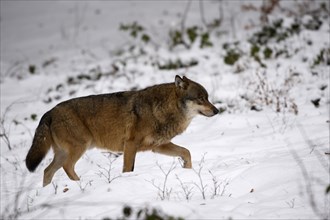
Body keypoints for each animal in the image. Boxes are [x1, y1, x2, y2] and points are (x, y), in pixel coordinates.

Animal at [25, 75, 219, 186]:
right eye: (201, 98)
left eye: (207, 98)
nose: (217, 110)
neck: (161, 109)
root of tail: (50, 112)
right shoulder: (130, 145)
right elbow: (128, 169)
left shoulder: (158, 146)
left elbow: (186, 152)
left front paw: (187, 169)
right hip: (79, 148)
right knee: (66, 167)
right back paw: (80, 185)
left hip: (63, 153)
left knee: (47, 171)